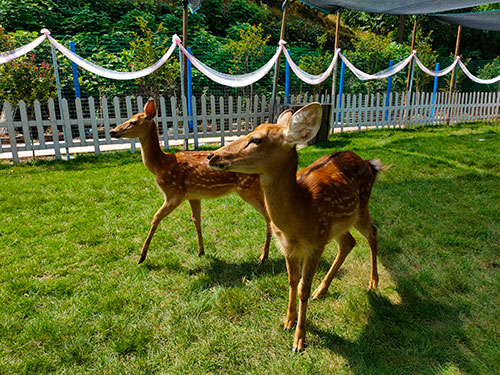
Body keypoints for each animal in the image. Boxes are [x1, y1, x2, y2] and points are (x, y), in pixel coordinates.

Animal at [111, 99, 272, 264]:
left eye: (133, 122)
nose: (112, 131)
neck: (160, 165)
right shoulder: (193, 195)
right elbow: (196, 219)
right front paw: (201, 251)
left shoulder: (175, 192)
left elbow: (156, 217)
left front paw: (141, 256)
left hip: (248, 188)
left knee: (269, 217)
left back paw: (263, 256)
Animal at [207, 102, 386, 352]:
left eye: (257, 140)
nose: (212, 155)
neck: (301, 212)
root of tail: (370, 165)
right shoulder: (288, 246)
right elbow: (292, 281)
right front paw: (288, 321)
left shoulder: (315, 244)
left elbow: (303, 287)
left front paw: (299, 340)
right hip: (338, 225)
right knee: (349, 242)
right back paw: (322, 290)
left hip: (361, 209)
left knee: (372, 234)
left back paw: (373, 283)